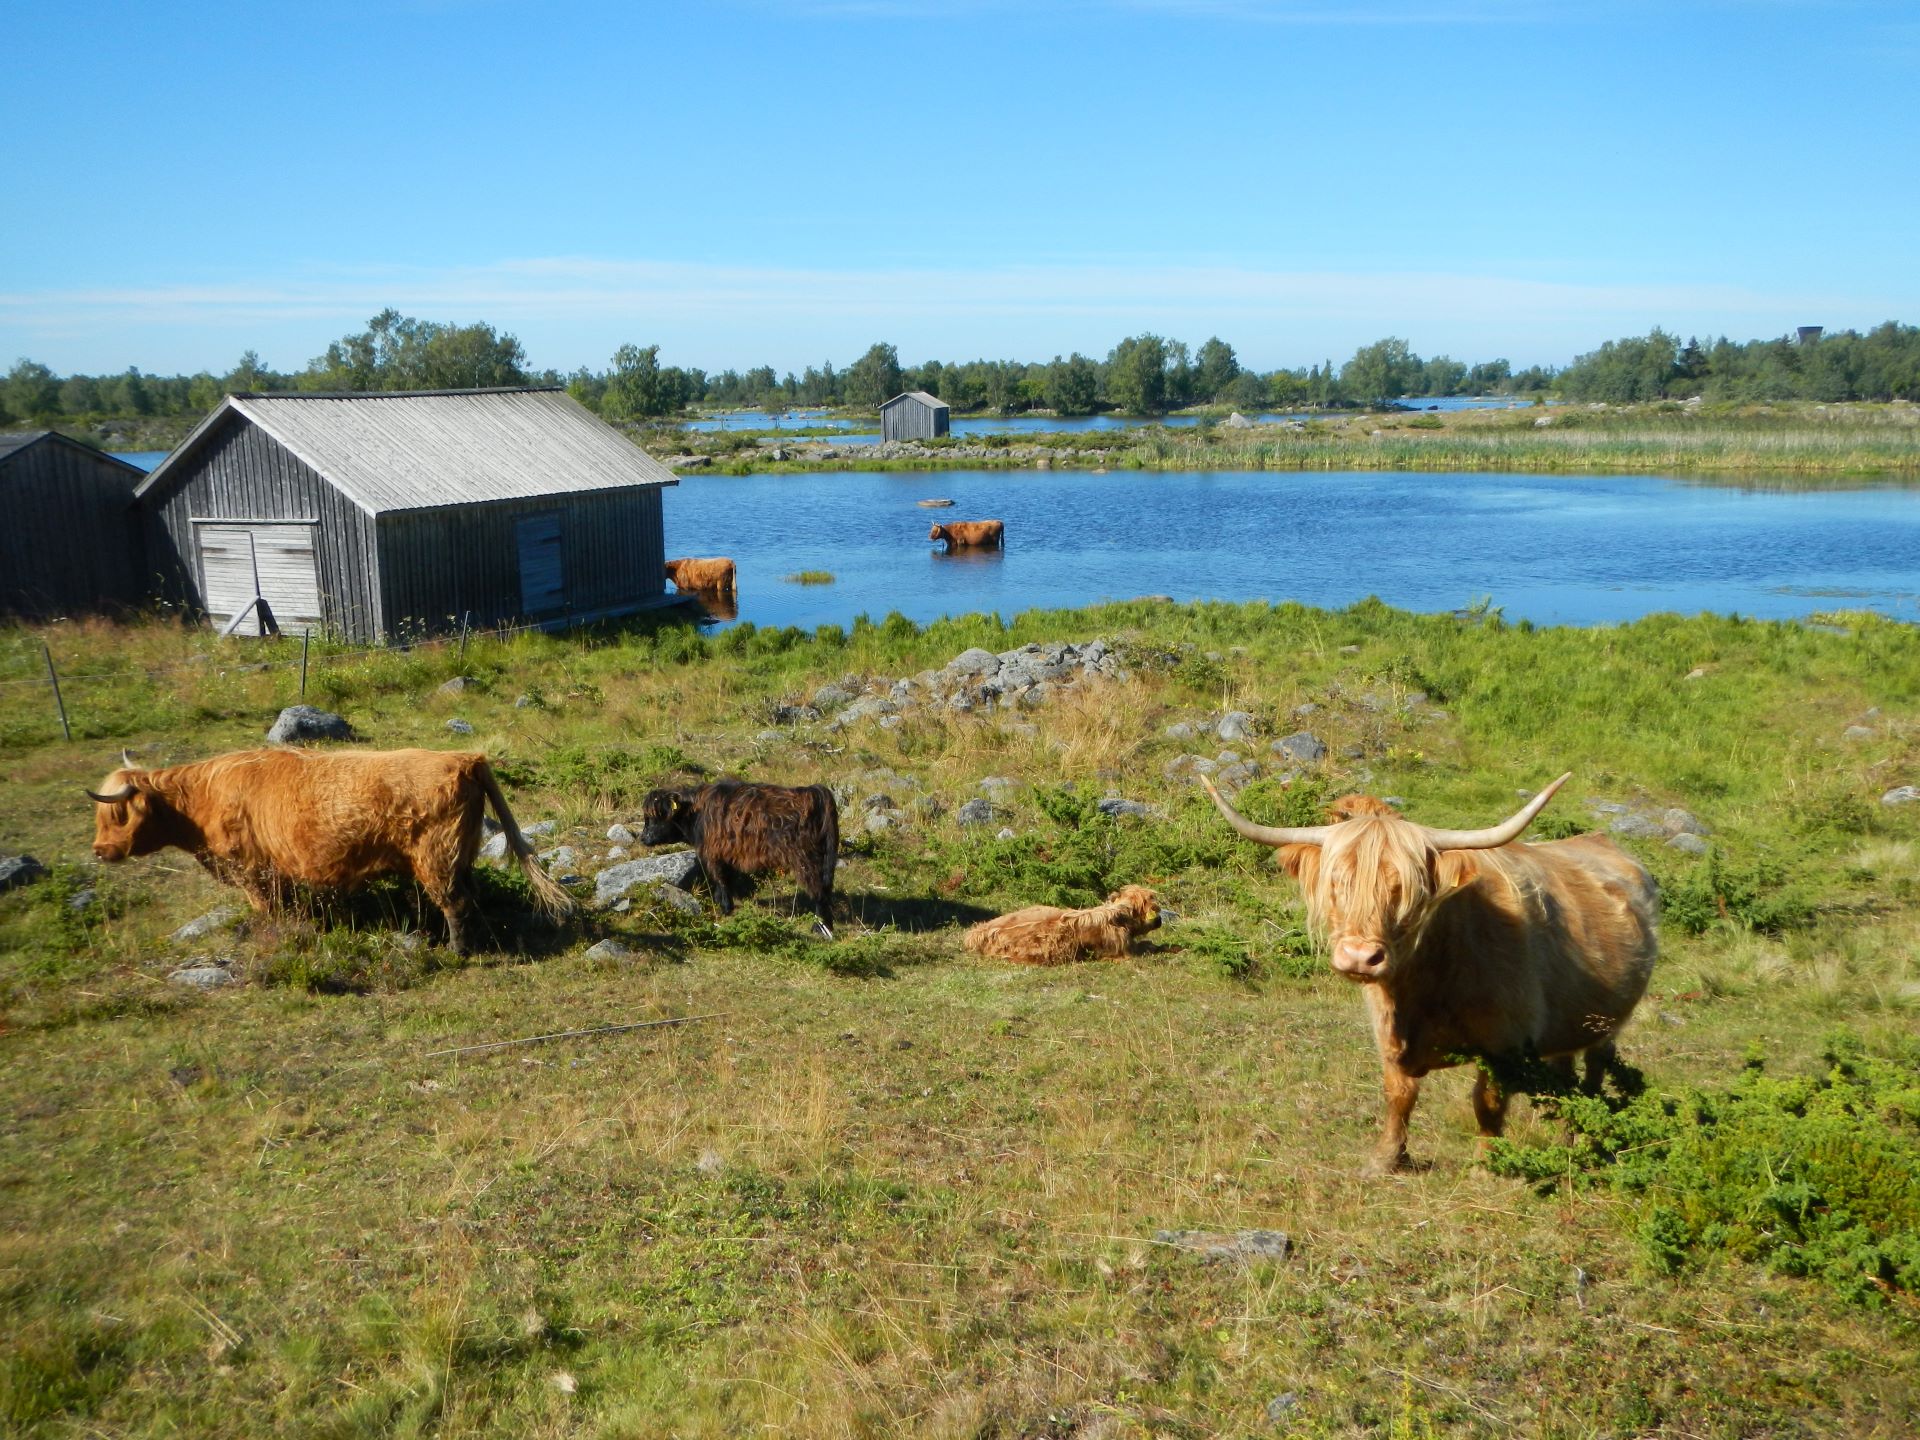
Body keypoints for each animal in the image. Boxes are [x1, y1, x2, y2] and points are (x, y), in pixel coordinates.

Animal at [90, 748, 568, 952]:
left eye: (117, 815)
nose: (98, 850)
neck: (201, 800)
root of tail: (464, 757)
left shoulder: (252, 872)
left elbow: (267, 912)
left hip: (435, 855)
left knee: (455, 902)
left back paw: (457, 952)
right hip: (460, 851)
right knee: (471, 895)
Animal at [641, 783, 837, 940]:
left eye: (655, 817)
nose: (643, 838)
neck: (696, 813)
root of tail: (813, 791)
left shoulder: (714, 854)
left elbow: (720, 879)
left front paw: (725, 908)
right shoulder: (728, 855)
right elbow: (727, 880)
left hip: (806, 860)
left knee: (819, 892)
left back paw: (820, 927)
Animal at [1205, 779, 1658, 1175]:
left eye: (1406, 888)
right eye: (1337, 882)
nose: (1360, 957)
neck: (1426, 986)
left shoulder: (1505, 1042)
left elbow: (1487, 1102)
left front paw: (1485, 1166)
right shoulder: (1389, 1034)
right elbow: (1399, 1095)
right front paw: (1386, 1159)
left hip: (1607, 1022)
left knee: (1594, 1072)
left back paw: (1581, 1142)